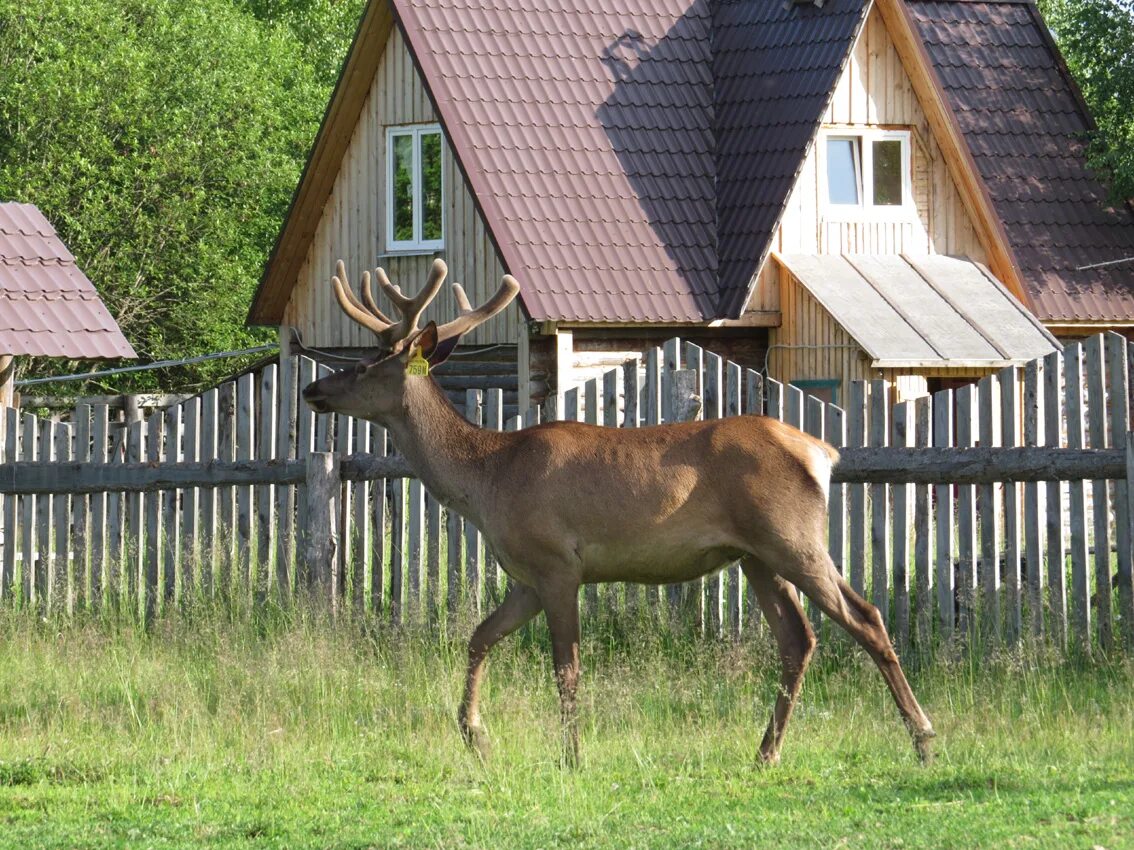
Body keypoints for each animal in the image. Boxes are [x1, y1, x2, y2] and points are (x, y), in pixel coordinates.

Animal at [297, 258, 934, 766]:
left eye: (370, 365)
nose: (313, 389)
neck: (487, 483)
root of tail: (822, 453)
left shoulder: (558, 563)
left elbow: (566, 668)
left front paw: (571, 755)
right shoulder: (526, 577)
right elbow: (479, 637)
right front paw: (475, 734)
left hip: (792, 536)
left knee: (865, 617)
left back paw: (923, 738)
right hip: (754, 554)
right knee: (798, 638)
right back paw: (766, 752)